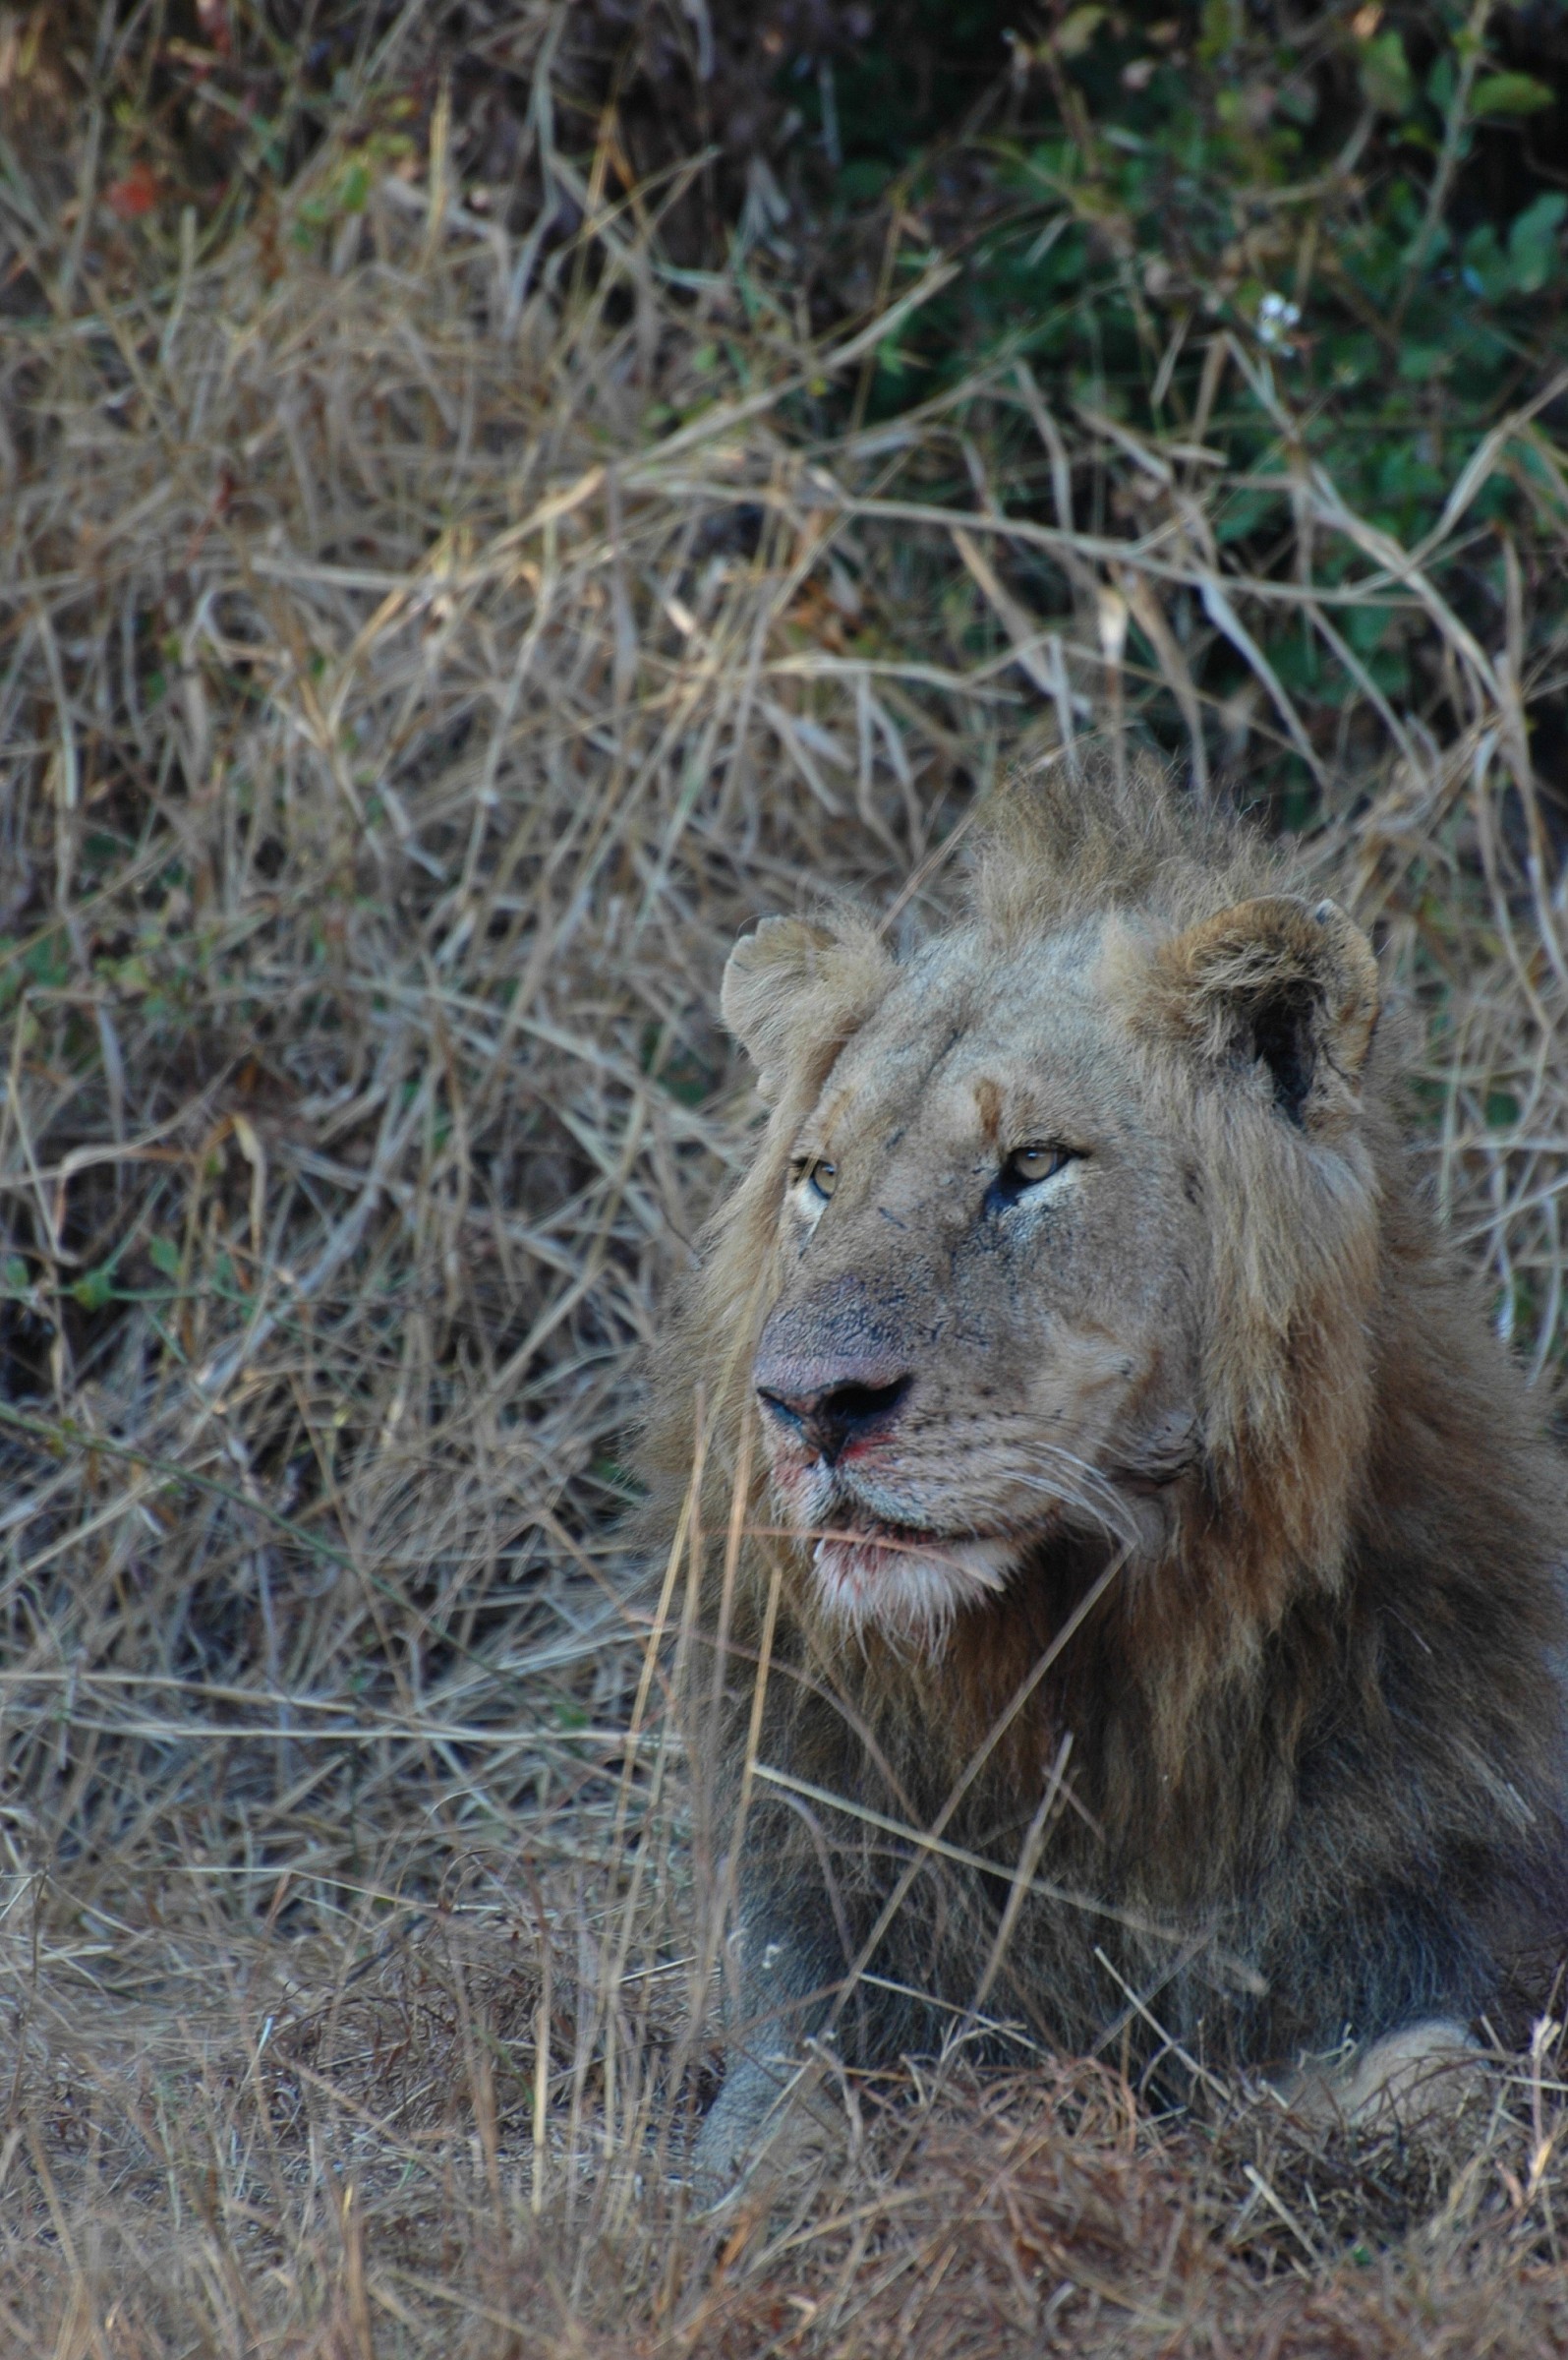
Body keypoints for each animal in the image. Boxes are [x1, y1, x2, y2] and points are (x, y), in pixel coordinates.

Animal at [645, 767, 1568, 2189]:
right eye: (817, 1178)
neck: (1080, 1680)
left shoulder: (1380, 1976)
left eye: (1030, 1164)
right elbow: (770, 2162)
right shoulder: (818, 2011)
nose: (806, 1407)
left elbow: (1434, 2111)